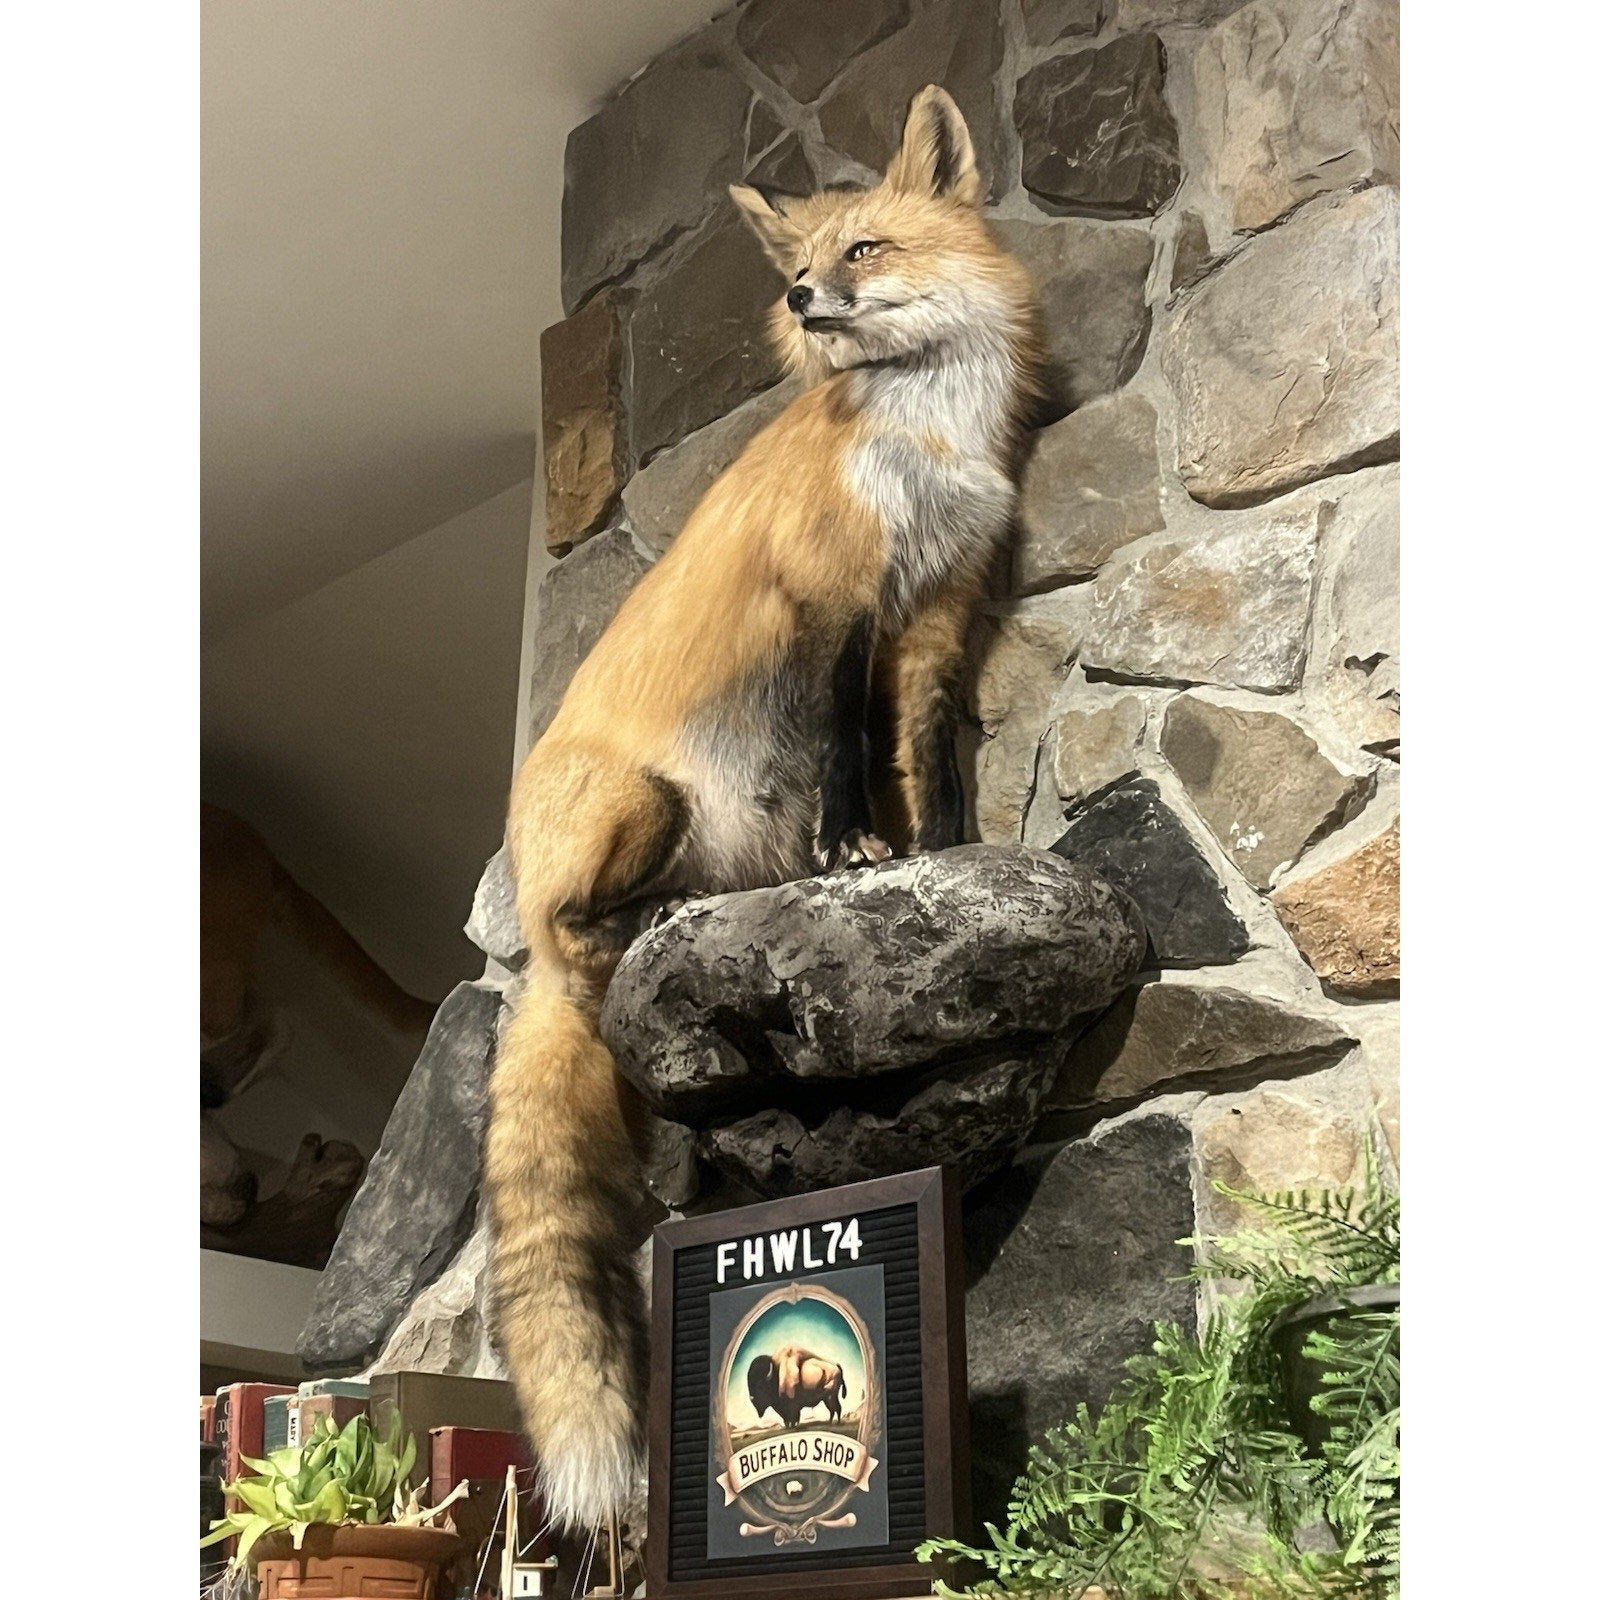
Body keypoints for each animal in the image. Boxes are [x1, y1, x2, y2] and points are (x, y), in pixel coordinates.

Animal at [486, 85, 1044, 1532]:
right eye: (808, 261)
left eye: (867, 248)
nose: (800, 298)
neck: (921, 437)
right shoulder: (835, 602)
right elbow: (853, 747)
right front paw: (857, 848)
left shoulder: (936, 615)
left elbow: (929, 757)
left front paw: (944, 851)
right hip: (644, 807)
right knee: (586, 926)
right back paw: (650, 920)